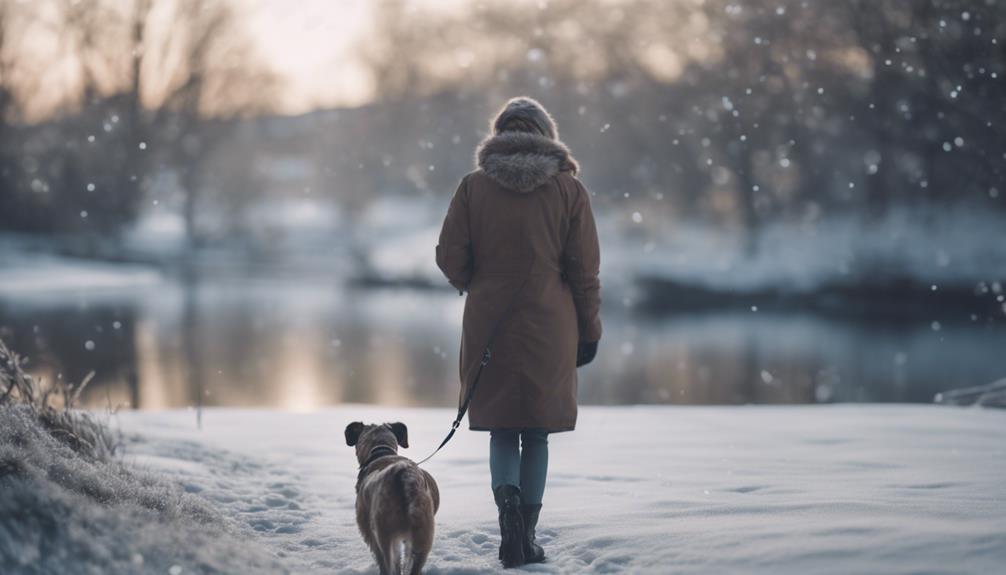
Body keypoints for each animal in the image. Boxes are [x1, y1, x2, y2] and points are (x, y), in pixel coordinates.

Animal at [346, 422, 440, 575]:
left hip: (384, 534)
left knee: (391, 565)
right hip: (423, 535)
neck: (381, 451)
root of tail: (405, 475)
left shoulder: (370, 532)